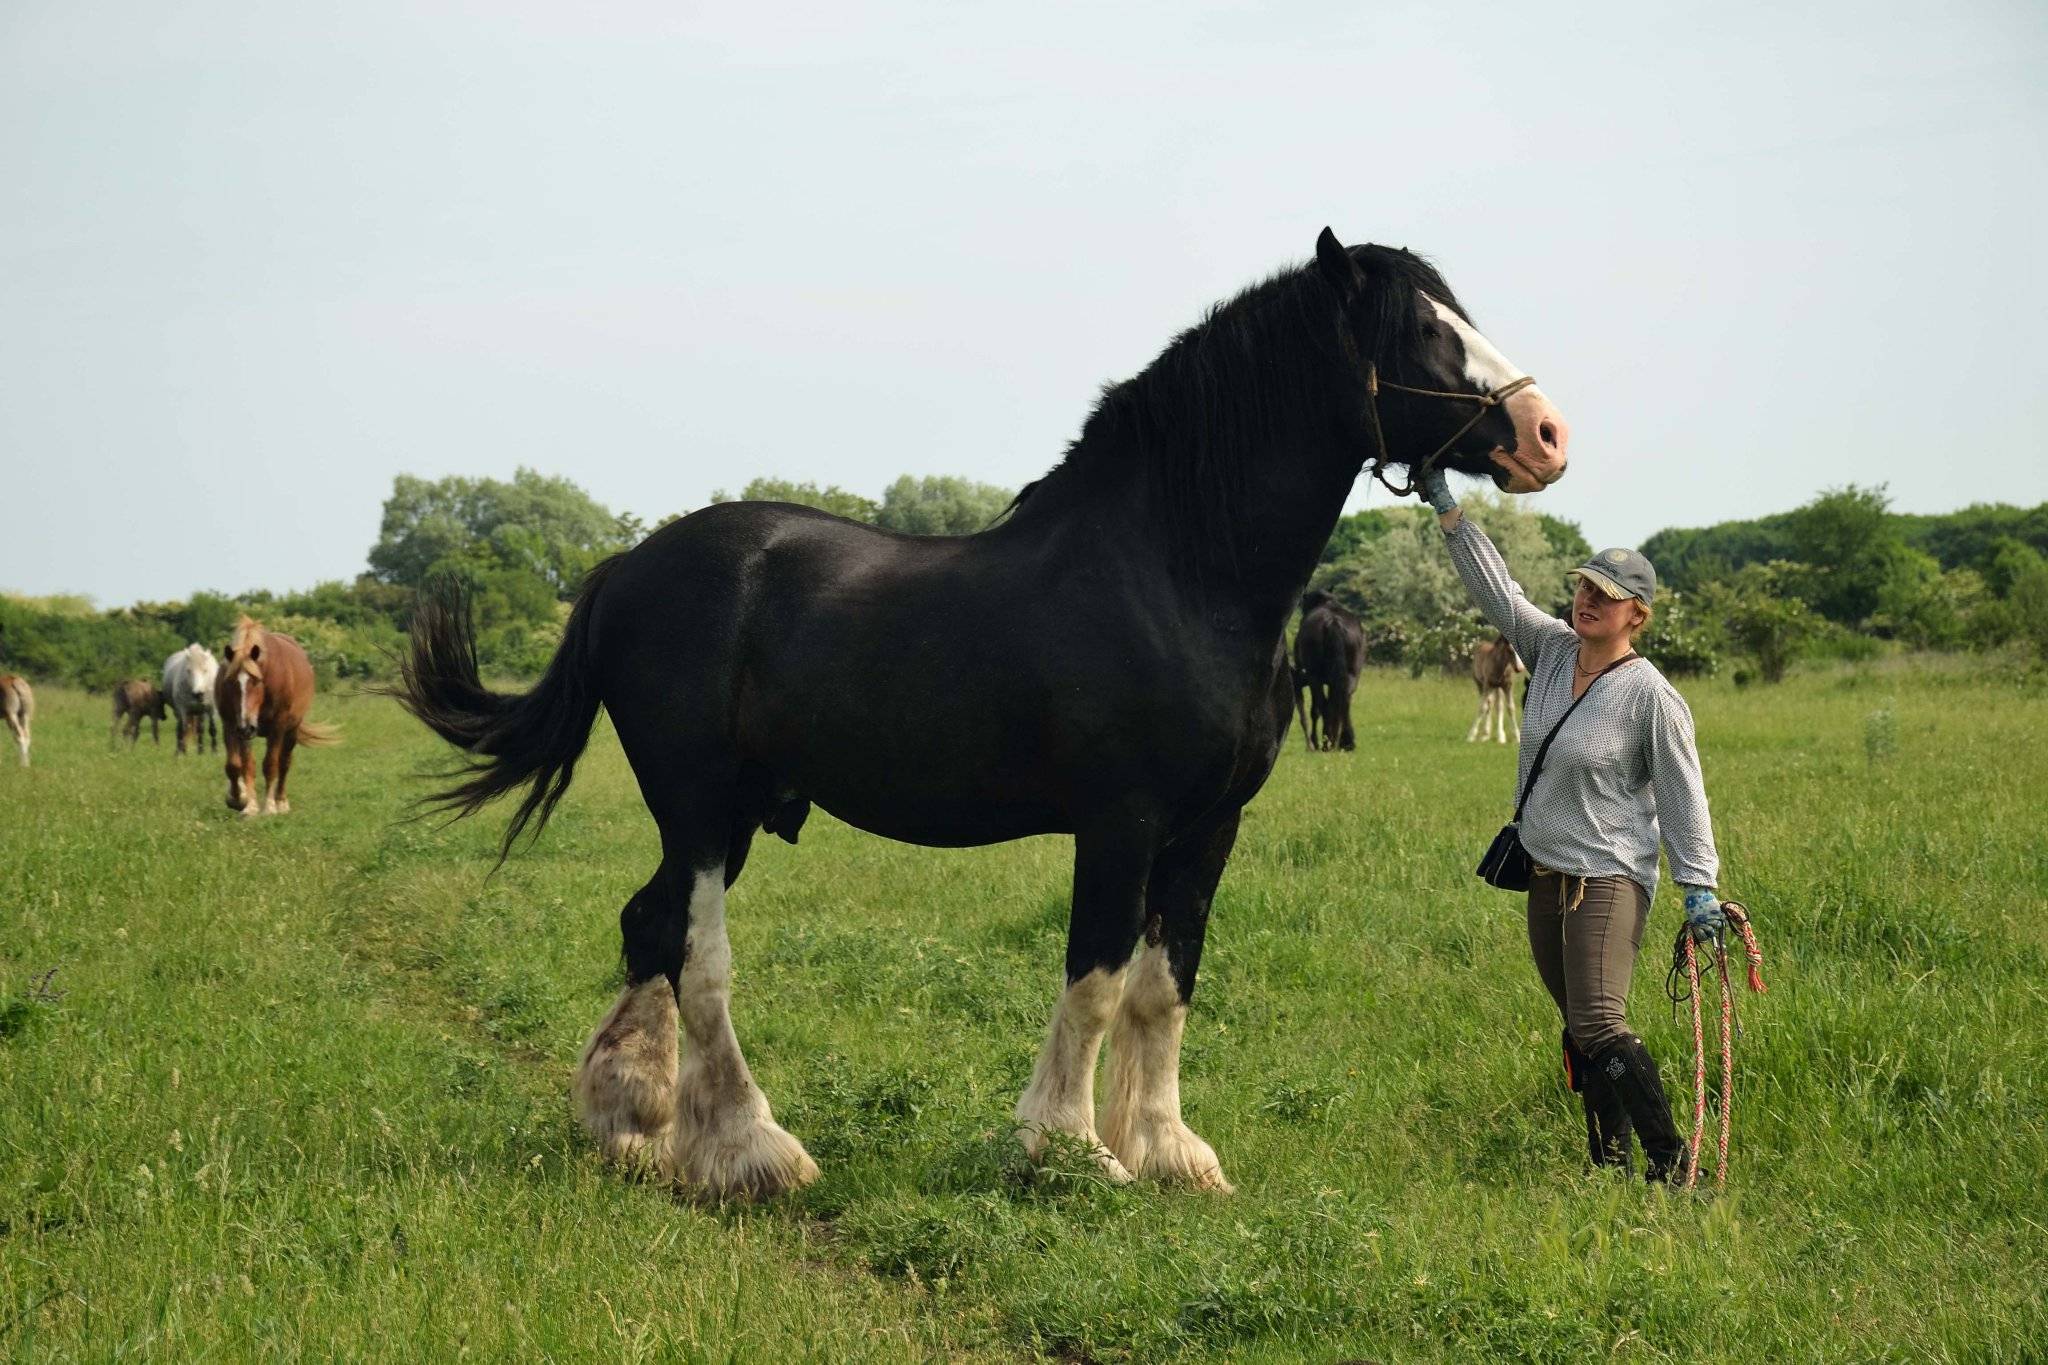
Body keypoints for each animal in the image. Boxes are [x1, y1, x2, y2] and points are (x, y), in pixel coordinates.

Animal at [216, 618, 335, 818]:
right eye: (230, 681)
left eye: (256, 680)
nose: (246, 727)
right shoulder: (232, 725)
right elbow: (237, 765)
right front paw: (242, 802)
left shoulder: (277, 727)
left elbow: (271, 765)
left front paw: (269, 807)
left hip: (291, 730)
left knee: (284, 763)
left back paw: (281, 801)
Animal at [1294, 589, 1359, 753]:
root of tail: (1333, 622)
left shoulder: (1312, 679)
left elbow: (1315, 709)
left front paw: (1316, 742)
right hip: (1351, 676)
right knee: (1343, 701)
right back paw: (1343, 741)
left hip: (1315, 677)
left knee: (1323, 705)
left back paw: (1326, 742)